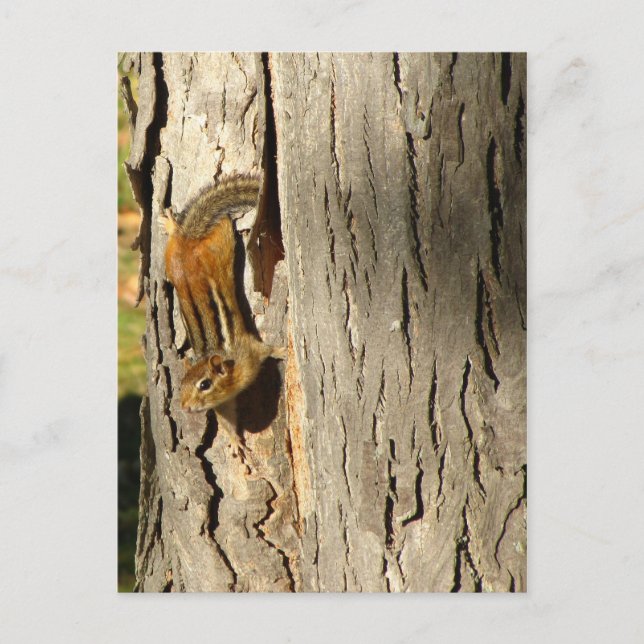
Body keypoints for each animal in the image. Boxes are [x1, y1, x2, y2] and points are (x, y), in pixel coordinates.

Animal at [161, 174, 286, 412]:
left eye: (205, 384)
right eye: (181, 384)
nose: (184, 407)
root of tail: (188, 240)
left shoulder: (251, 351)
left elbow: (267, 349)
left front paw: (283, 350)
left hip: (222, 240)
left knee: (223, 223)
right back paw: (172, 225)